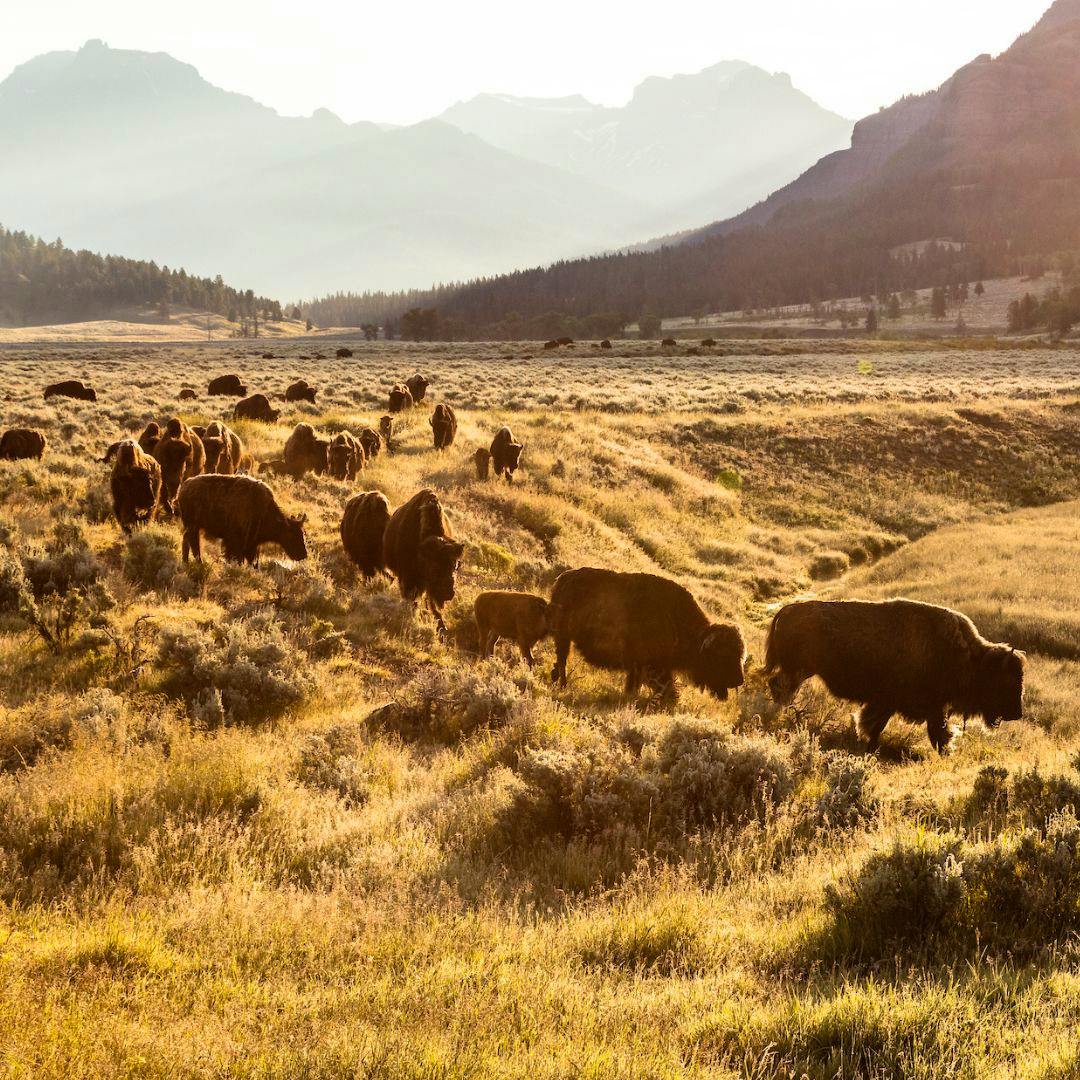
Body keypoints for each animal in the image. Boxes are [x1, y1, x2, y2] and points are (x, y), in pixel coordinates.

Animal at [178, 474, 307, 565]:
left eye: (302, 533)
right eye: (292, 535)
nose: (303, 555)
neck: (263, 511)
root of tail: (183, 487)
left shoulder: (251, 544)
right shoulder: (236, 541)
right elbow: (237, 558)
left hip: (191, 526)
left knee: (187, 541)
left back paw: (186, 562)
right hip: (193, 526)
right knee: (193, 543)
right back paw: (198, 562)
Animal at [548, 568, 746, 701]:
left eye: (740, 654)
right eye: (722, 655)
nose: (739, 680)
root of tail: (563, 579)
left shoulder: (638, 667)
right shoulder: (651, 665)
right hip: (563, 637)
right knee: (562, 660)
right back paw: (562, 685)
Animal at [763, 598, 1026, 753]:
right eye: (1005, 681)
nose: (1017, 713)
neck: (969, 658)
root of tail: (787, 609)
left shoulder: (923, 706)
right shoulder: (897, 702)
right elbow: (879, 725)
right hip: (798, 670)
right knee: (779, 686)